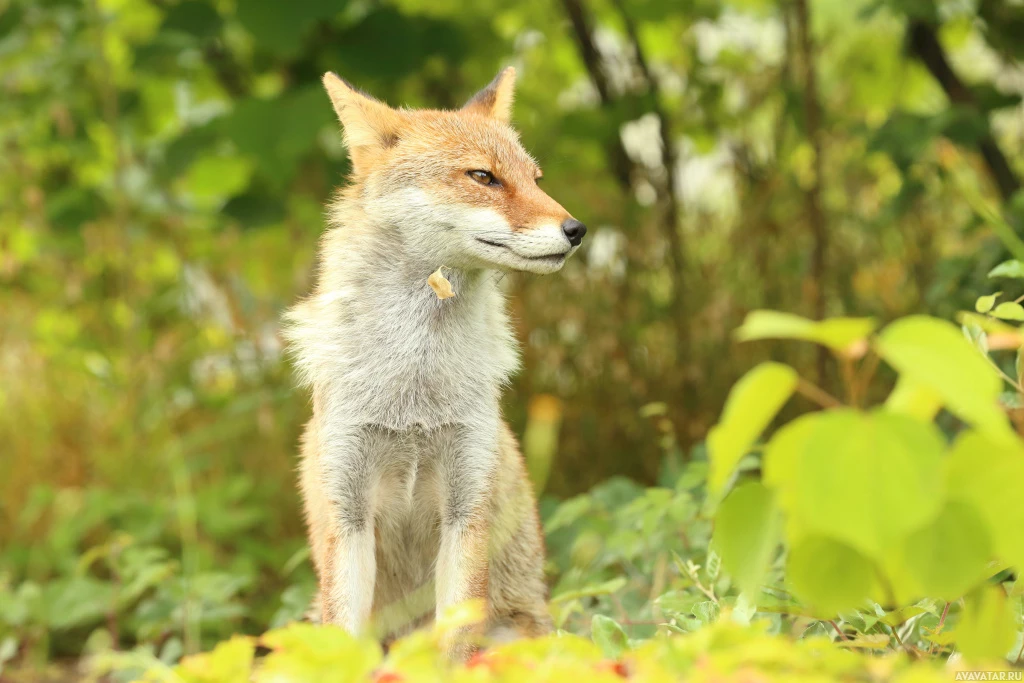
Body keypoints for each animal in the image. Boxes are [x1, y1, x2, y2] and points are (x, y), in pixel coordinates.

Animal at [282, 65, 585, 655]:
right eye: (483, 176)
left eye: (535, 178)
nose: (576, 230)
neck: (414, 392)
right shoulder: (348, 513)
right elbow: (345, 641)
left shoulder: (467, 509)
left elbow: (457, 643)